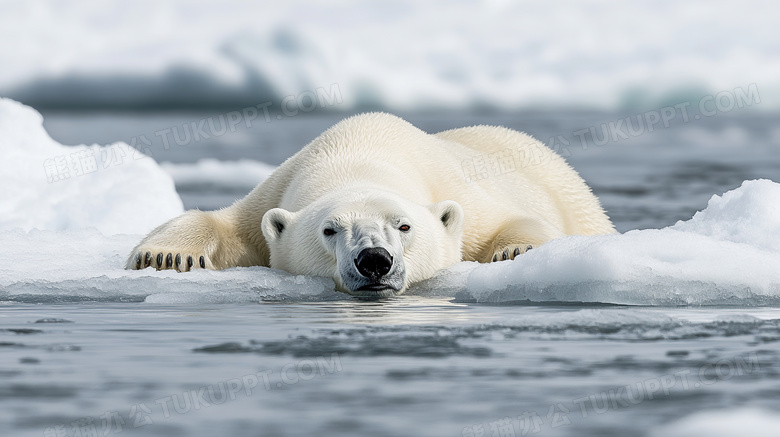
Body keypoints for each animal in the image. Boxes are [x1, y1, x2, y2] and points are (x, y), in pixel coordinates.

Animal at [128, 112, 616, 296]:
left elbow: (510, 219)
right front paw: (165, 255)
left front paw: (516, 250)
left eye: (404, 226)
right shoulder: (276, 189)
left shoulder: (460, 190)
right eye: (329, 229)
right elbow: (227, 223)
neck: (358, 153)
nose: (375, 261)